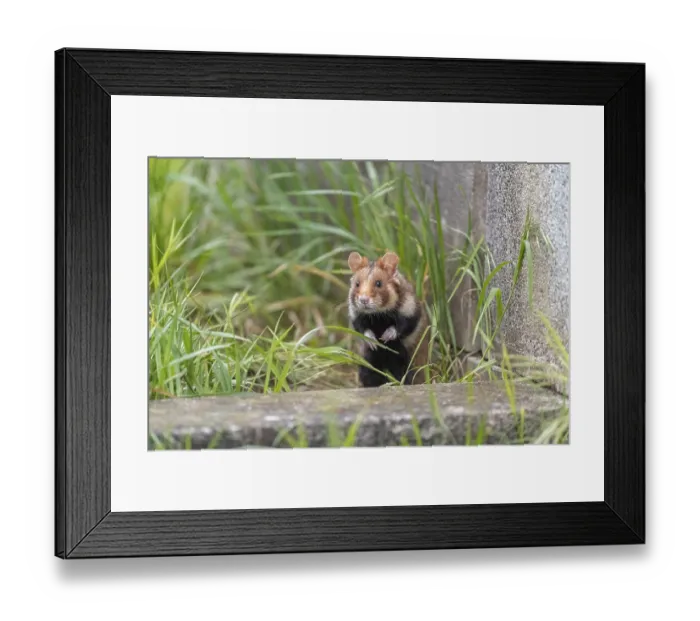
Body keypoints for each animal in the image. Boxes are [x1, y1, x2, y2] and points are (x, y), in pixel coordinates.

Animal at [347, 251, 428, 387]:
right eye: (357, 284)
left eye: (379, 283)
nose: (363, 300)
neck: (378, 316)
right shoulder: (356, 316)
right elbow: (362, 329)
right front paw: (374, 342)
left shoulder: (411, 311)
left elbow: (402, 326)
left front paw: (385, 337)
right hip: (368, 361)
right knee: (371, 375)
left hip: (406, 362)